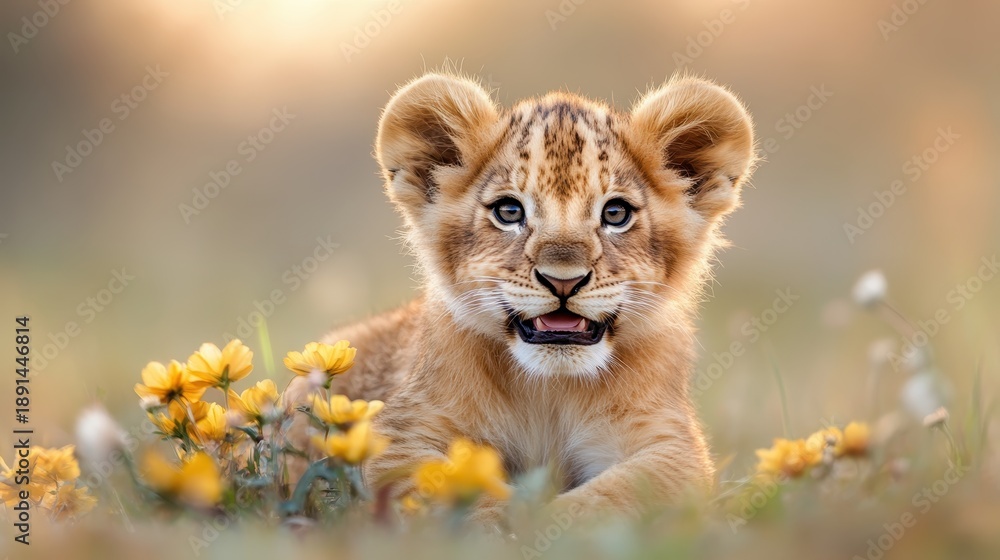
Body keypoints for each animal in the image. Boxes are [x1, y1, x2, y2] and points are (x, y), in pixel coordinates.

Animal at [285, 71, 756, 525]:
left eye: (615, 213)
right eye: (509, 212)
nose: (563, 281)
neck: (551, 390)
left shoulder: (671, 445)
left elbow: (614, 495)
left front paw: (549, 527)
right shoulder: (400, 436)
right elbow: (449, 487)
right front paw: (507, 526)